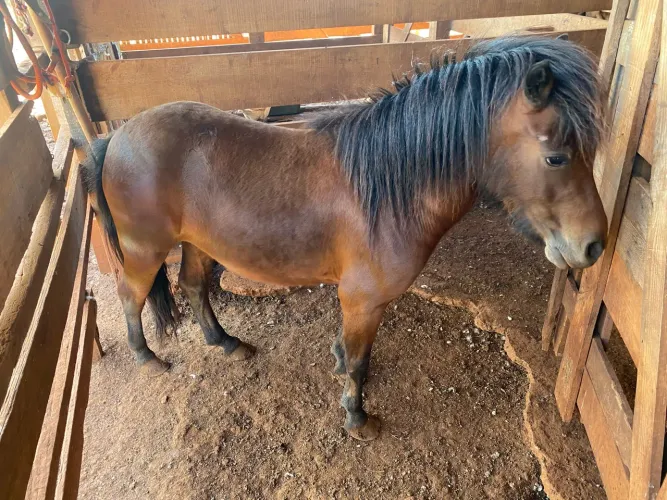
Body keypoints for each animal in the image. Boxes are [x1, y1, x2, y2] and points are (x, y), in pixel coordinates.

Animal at [82, 36, 607, 441]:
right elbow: (358, 362)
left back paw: (227, 343)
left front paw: (339, 369)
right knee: (130, 294)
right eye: (557, 157)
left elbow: (352, 355)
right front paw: (357, 417)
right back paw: (147, 357)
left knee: (192, 286)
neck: (389, 185)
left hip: (199, 244)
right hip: (144, 250)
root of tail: (115, 138)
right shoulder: (363, 300)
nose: (594, 245)